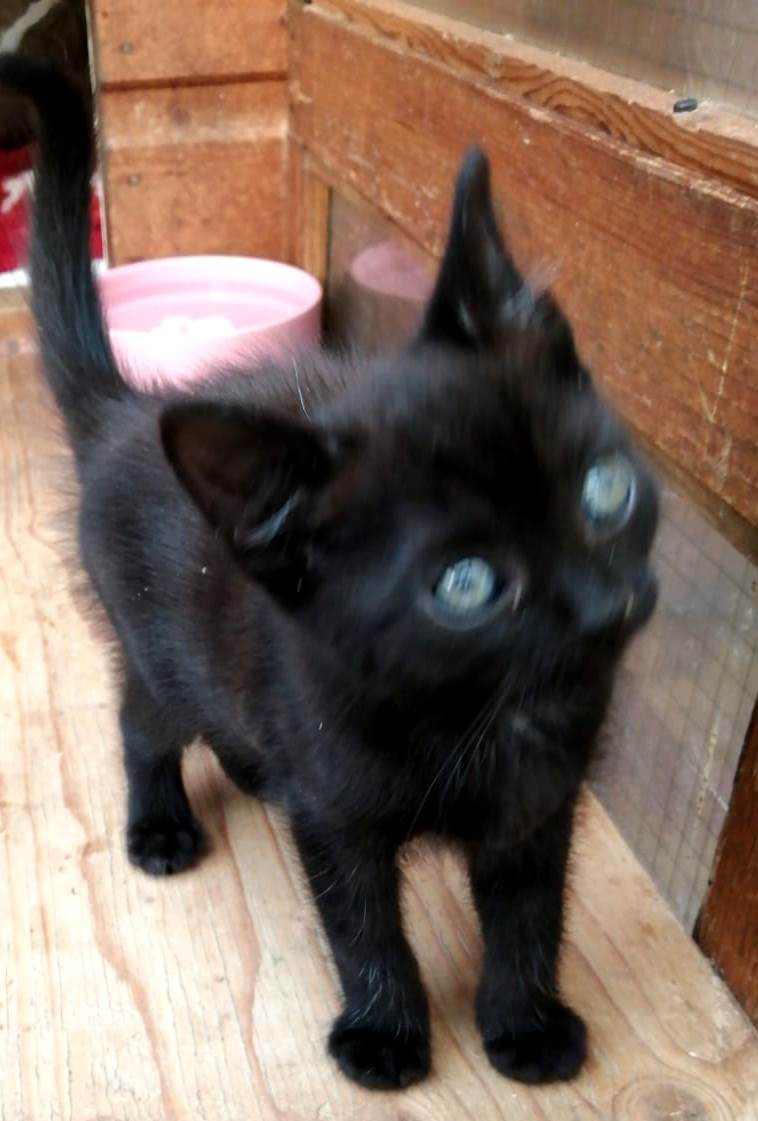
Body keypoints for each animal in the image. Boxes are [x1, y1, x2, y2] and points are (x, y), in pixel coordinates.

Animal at [2, 55, 658, 1092]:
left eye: (604, 490)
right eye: (464, 584)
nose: (605, 606)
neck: (470, 707)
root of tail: (125, 413)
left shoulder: (539, 799)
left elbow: (530, 912)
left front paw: (523, 1022)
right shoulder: (338, 811)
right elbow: (363, 924)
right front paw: (384, 1034)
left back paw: (251, 767)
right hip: (156, 644)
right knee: (142, 718)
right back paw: (160, 824)